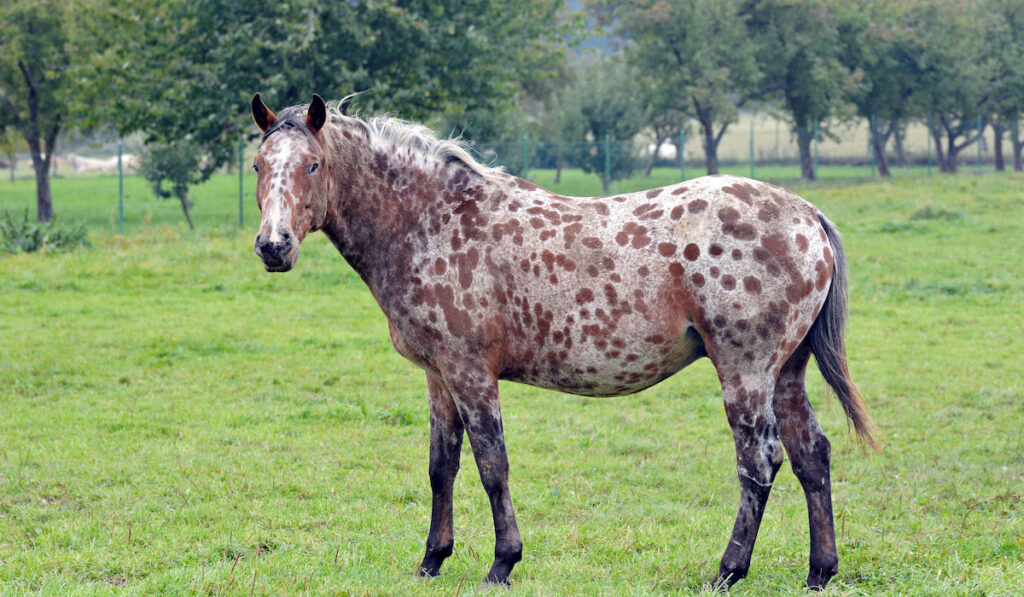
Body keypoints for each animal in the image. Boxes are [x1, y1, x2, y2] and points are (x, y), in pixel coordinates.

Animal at [249, 94, 880, 593]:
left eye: (312, 164)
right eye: (258, 163)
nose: (273, 247)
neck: (430, 220)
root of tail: (808, 215)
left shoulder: (471, 373)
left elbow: (491, 464)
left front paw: (502, 564)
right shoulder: (438, 376)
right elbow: (440, 467)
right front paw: (431, 561)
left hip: (745, 372)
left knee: (760, 461)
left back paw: (728, 570)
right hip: (786, 374)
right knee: (811, 456)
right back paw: (819, 571)